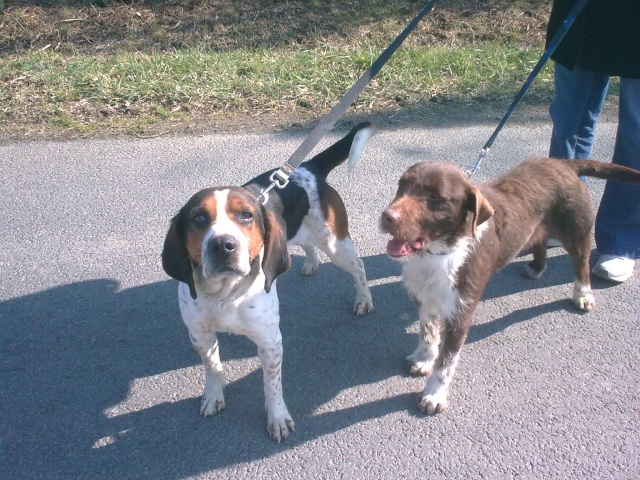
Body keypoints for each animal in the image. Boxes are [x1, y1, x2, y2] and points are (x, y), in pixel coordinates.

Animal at [162, 122, 378, 440]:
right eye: (198, 218)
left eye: (246, 215)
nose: (223, 245)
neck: (226, 294)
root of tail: (308, 167)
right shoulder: (200, 335)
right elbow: (212, 368)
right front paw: (213, 396)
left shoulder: (270, 342)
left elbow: (272, 386)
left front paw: (277, 418)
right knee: (305, 246)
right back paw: (311, 264)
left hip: (335, 245)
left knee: (359, 267)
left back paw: (363, 300)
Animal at [380, 158, 640, 412]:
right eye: (402, 185)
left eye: (435, 197)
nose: (387, 216)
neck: (441, 250)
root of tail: (564, 163)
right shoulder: (425, 296)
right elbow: (428, 332)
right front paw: (424, 359)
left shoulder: (462, 311)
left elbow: (447, 362)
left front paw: (434, 395)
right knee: (540, 241)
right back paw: (536, 268)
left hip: (577, 231)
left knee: (581, 264)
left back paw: (583, 294)